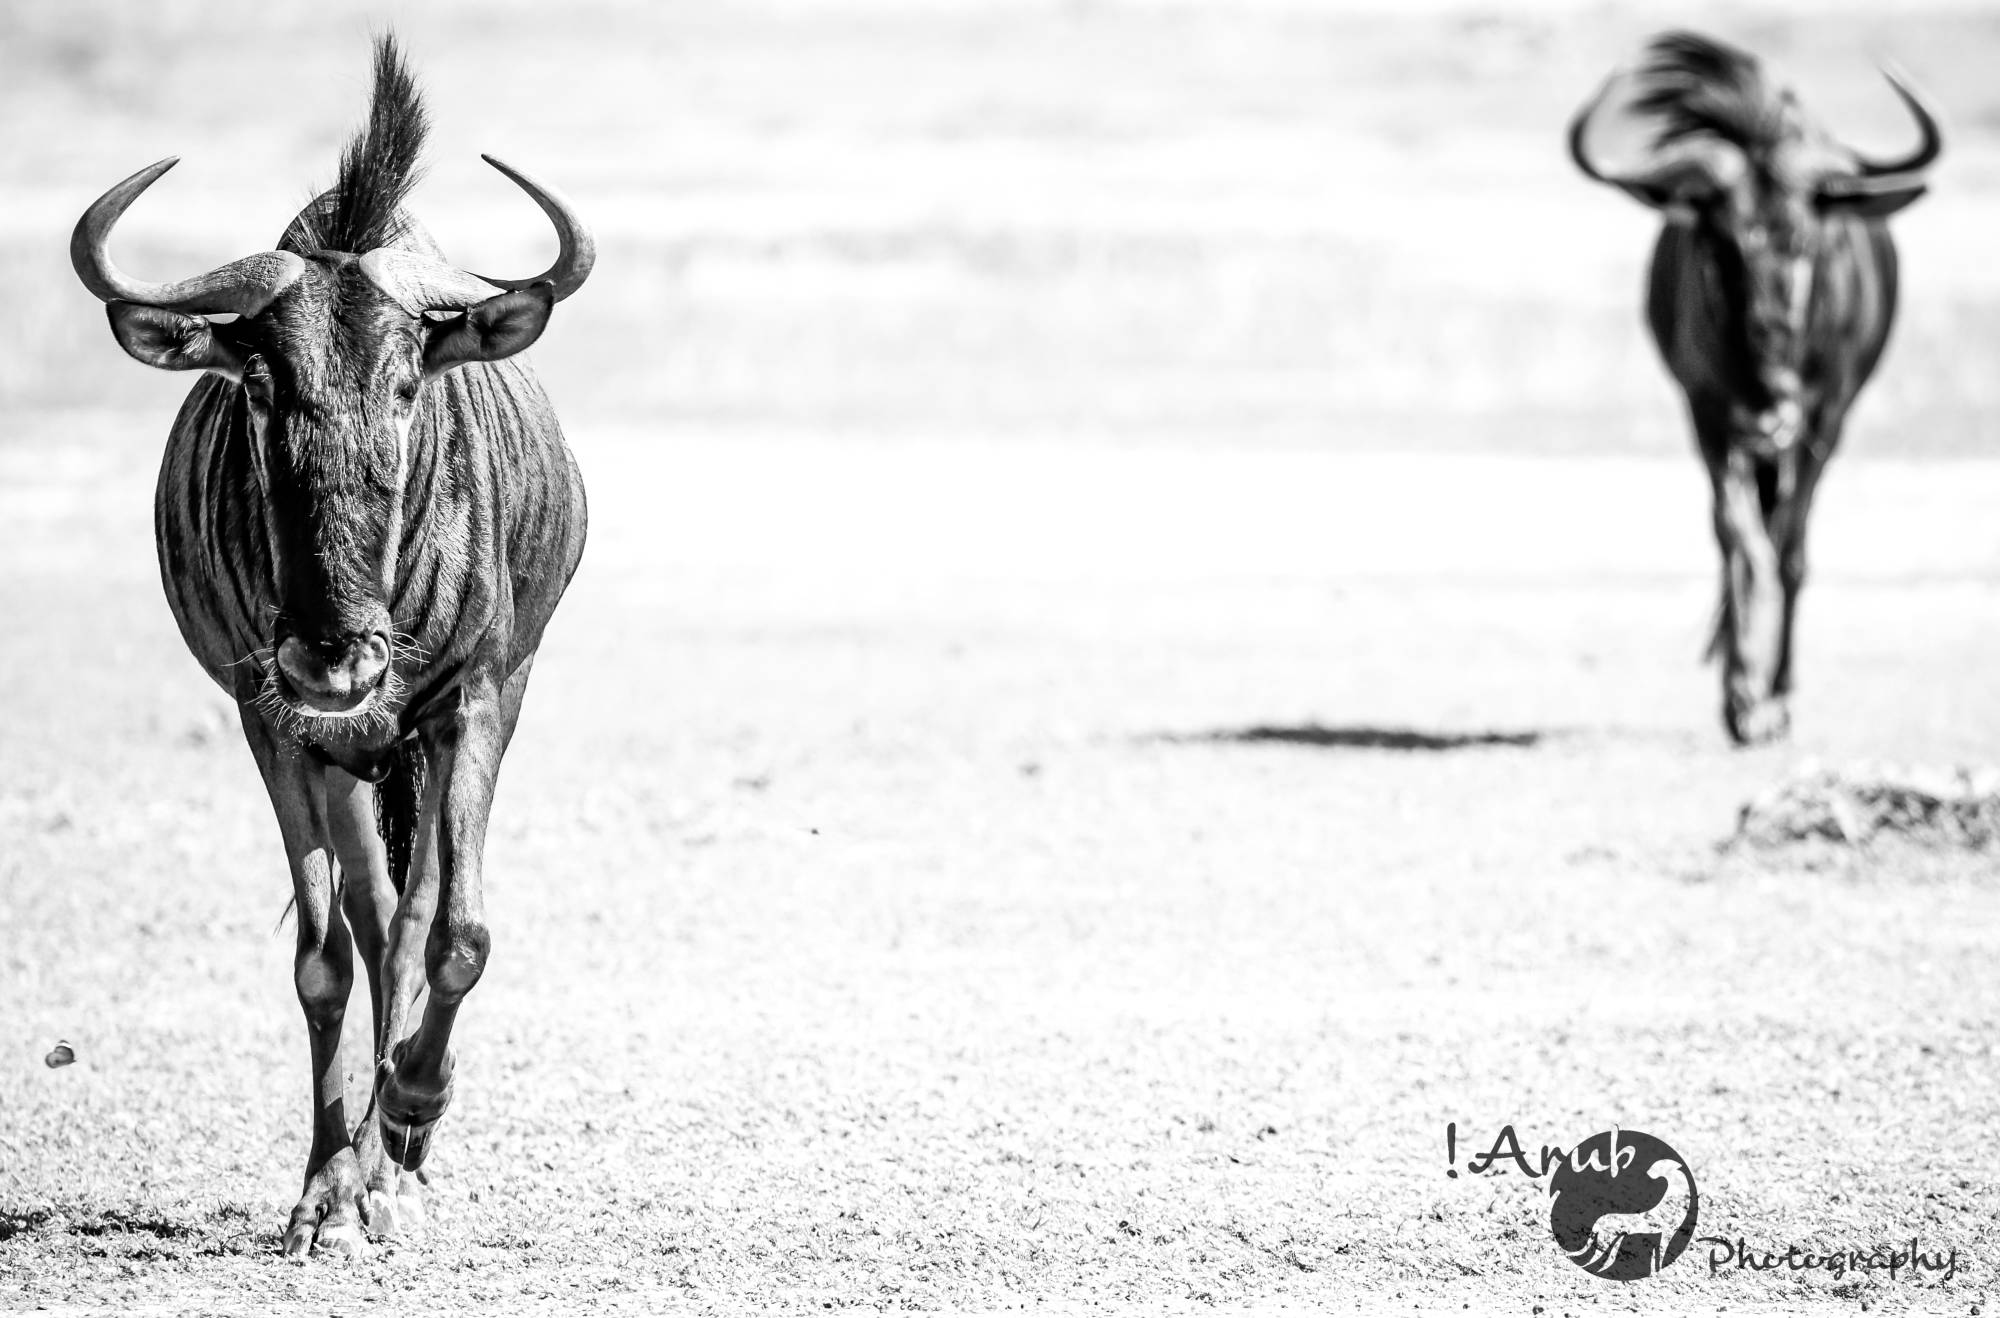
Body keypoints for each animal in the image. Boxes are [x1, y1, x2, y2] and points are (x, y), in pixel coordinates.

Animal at [70, 37, 592, 1257]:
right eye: (262, 386)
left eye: (406, 383)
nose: (334, 661)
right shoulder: (275, 725)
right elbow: (323, 957)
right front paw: (326, 1189)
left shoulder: (472, 703)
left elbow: (453, 932)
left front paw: (408, 1117)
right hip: (350, 755)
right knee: (367, 914)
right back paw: (366, 1166)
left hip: (443, 727)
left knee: (412, 916)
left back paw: (399, 1143)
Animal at [1569, 32, 1940, 744]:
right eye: (1718, 245)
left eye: (1805, 238)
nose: (1772, 396)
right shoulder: (1710, 414)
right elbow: (1738, 542)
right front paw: (1741, 696)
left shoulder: (1825, 420)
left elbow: (1790, 550)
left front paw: (1778, 696)